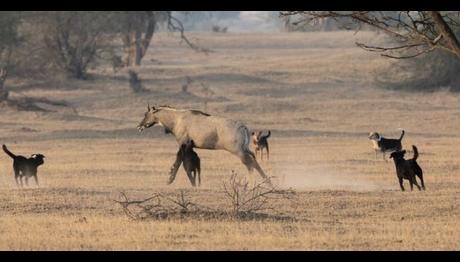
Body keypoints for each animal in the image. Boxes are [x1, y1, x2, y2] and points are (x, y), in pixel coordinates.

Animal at [137, 105, 270, 186]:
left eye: (146, 114)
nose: (139, 126)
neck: (177, 119)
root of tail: (243, 127)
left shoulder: (182, 144)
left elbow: (178, 160)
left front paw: (170, 179)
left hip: (239, 152)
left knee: (250, 164)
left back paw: (252, 185)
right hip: (246, 150)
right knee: (254, 162)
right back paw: (267, 182)